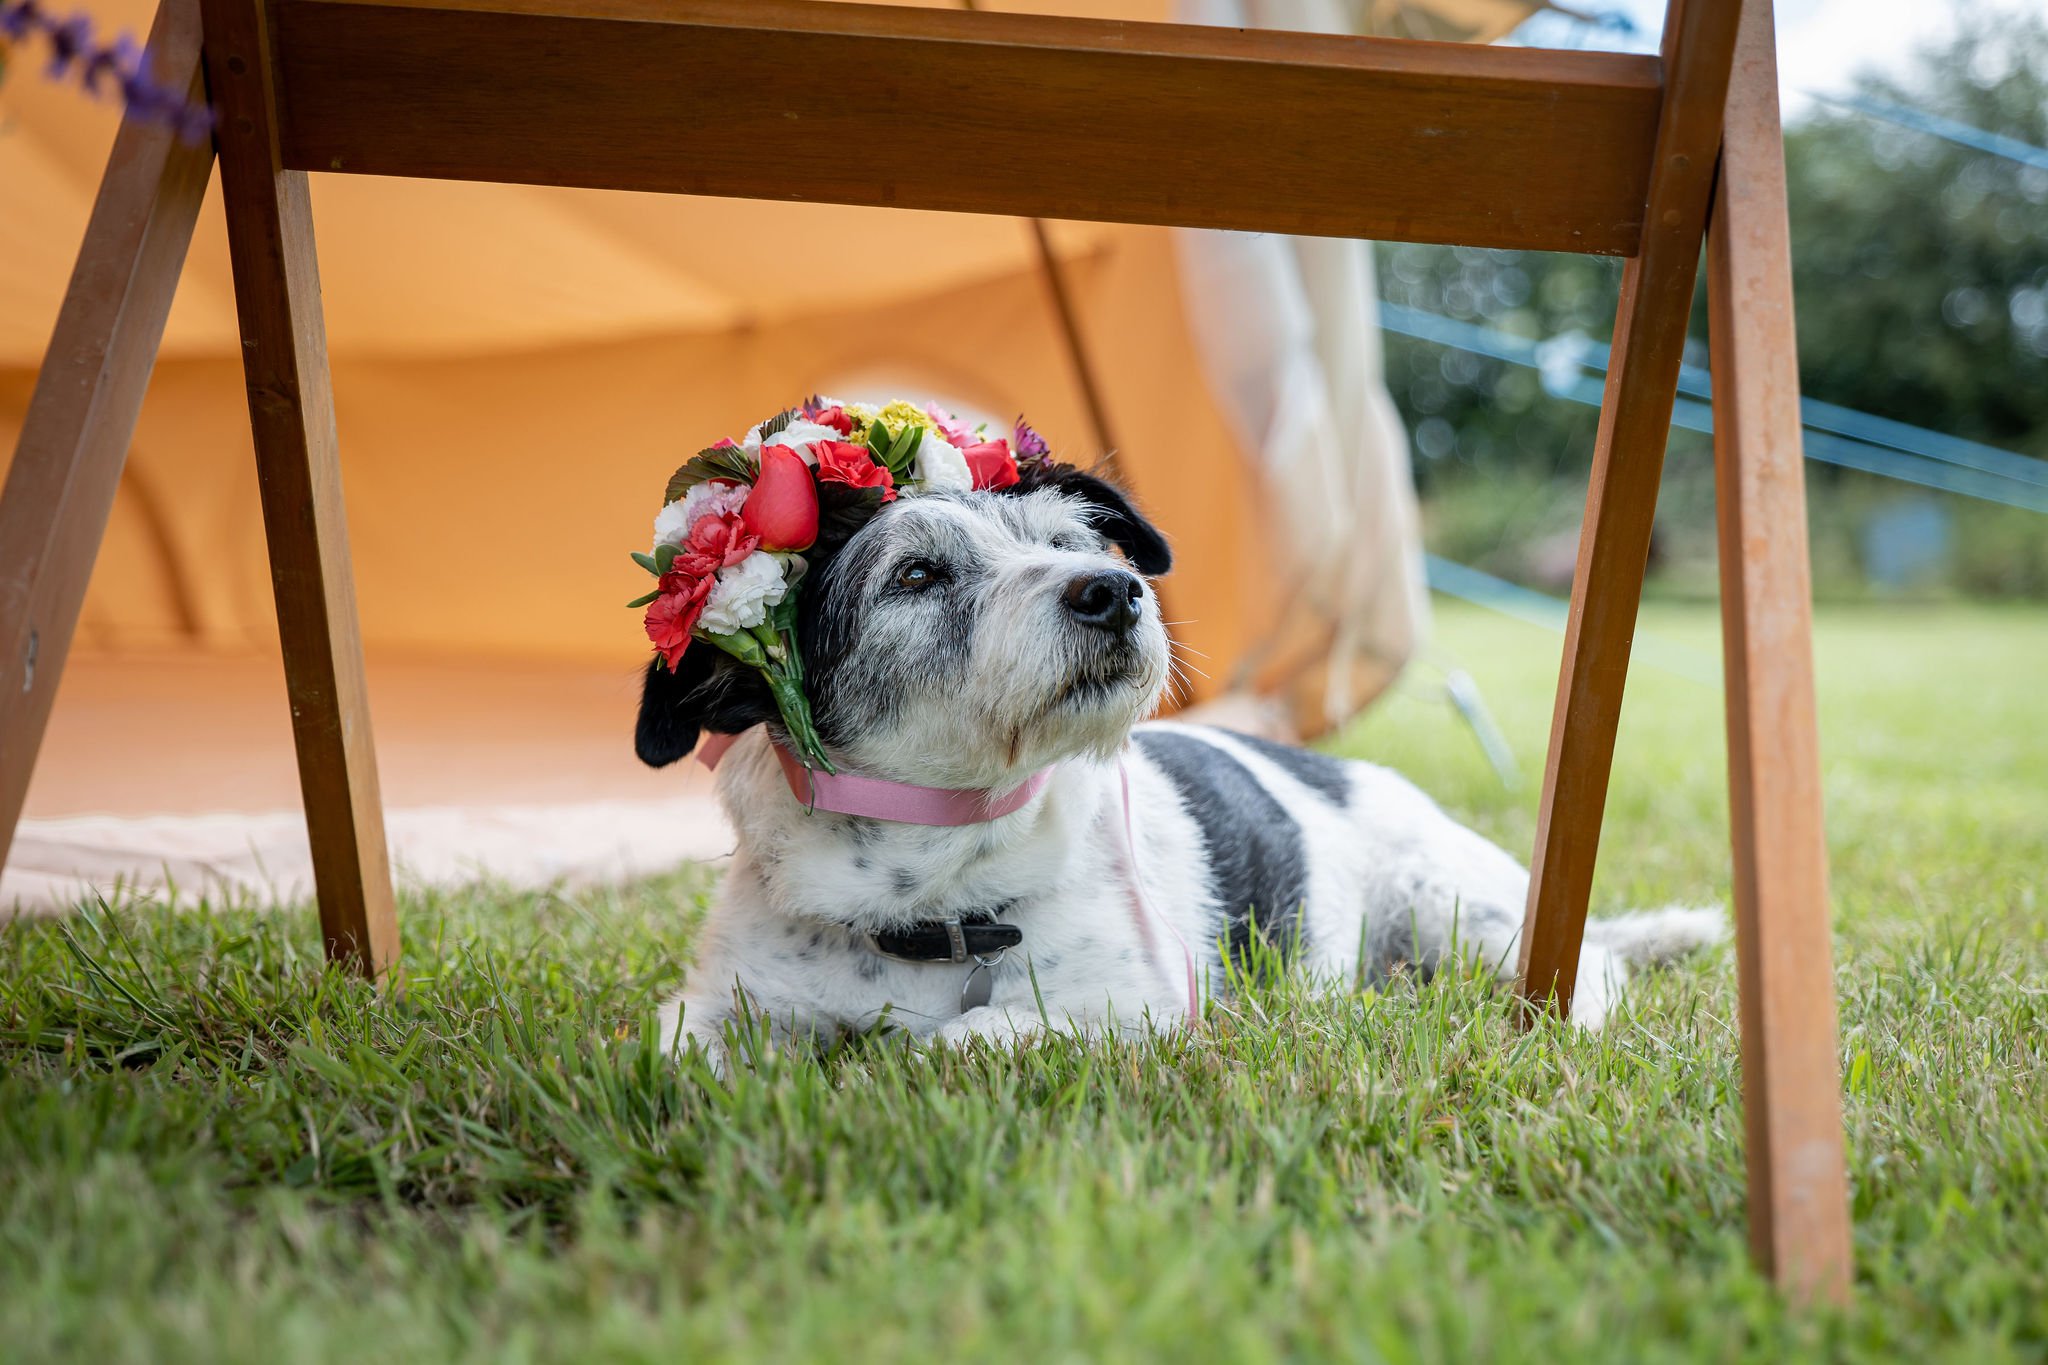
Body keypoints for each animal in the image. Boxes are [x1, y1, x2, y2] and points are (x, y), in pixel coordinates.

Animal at [634, 464, 1712, 1072]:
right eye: (917, 574)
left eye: (1067, 543)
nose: (1113, 589)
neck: (930, 895)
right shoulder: (712, 1007)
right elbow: (674, 1054)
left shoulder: (1133, 1004)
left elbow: (962, 1041)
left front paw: (898, 1055)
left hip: (1465, 912)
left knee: (1590, 964)